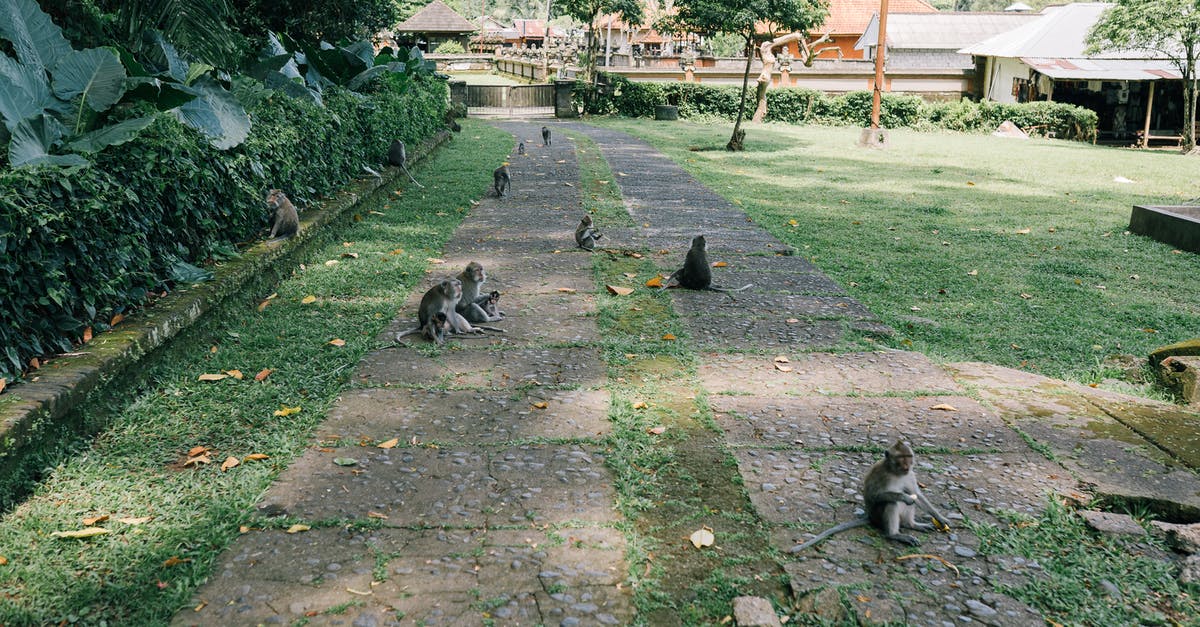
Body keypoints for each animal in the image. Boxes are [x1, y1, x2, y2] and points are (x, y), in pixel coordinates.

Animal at [792, 437, 950, 550]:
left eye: (909, 456)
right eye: (900, 458)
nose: (907, 465)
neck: (896, 472)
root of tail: (870, 517)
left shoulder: (910, 475)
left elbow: (917, 495)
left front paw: (941, 518)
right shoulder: (883, 476)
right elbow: (876, 496)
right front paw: (904, 497)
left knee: (910, 501)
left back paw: (911, 525)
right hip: (878, 516)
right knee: (891, 502)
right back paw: (895, 535)